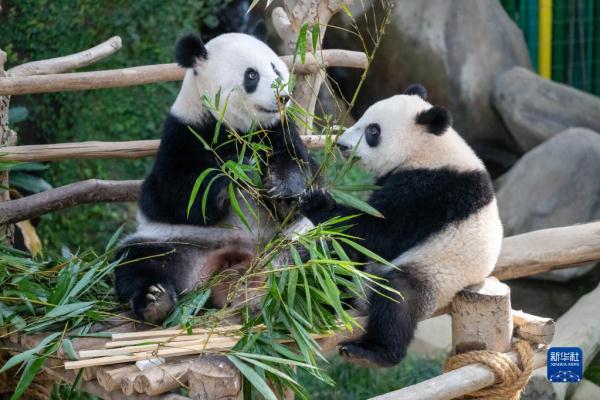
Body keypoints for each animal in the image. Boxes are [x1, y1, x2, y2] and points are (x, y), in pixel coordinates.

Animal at [114, 32, 316, 324]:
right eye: (252, 75)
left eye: (276, 68)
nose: (283, 97)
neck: (238, 131)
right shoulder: (184, 133)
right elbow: (173, 195)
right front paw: (237, 171)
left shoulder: (279, 130)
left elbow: (301, 169)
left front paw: (282, 190)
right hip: (174, 243)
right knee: (138, 262)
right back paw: (155, 301)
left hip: (293, 239)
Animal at [298, 83, 502, 368]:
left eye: (373, 131)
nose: (341, 144)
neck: (428, 148)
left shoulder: (432, 191)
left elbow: (378, 232)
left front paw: (317, 202)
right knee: (335, 263)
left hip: (434, 274)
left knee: (398, 297)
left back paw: (373, 352)